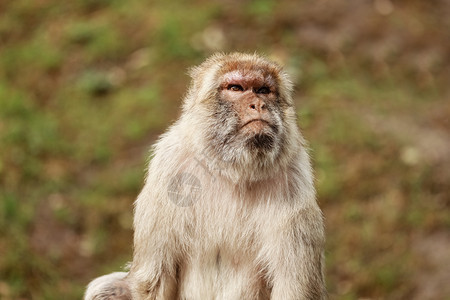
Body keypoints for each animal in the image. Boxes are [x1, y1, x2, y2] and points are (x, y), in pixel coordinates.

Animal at [84, 52, 326, 298]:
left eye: (263, 90)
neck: (234, 172)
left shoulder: (295, 181)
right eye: (236, 88)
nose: (258, 104)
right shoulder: (168, 169)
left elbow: (293, 289)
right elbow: (154, 281)